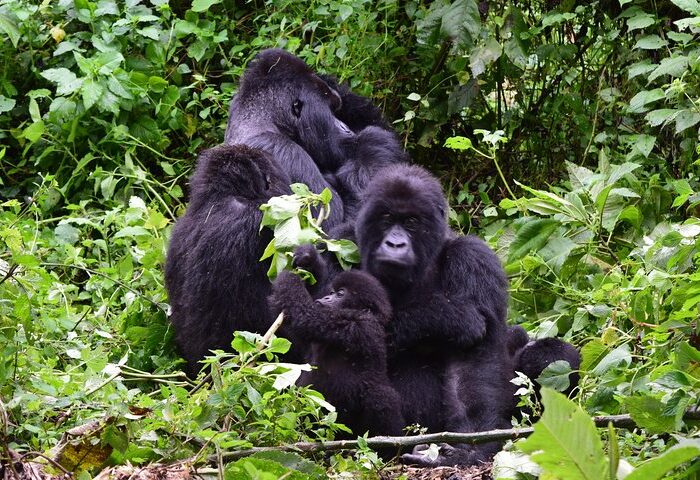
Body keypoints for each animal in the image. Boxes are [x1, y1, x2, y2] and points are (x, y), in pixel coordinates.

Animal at [272, 268, 404, 436]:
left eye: (340, 294)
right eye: (331, 292)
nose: (326, 297)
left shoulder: (356, 324)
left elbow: (306, 315)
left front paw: (289, 277)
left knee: (382, 397)